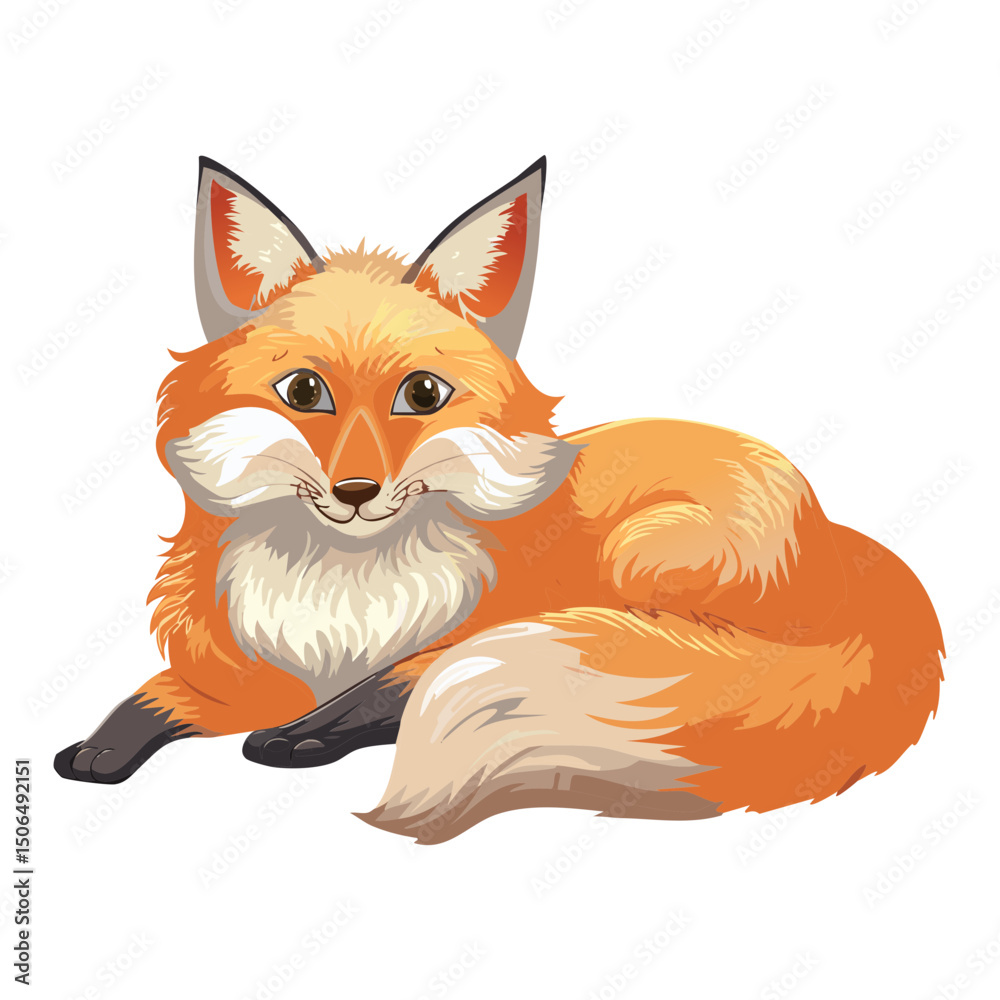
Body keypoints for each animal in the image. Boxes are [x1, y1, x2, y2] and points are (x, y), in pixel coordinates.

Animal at [55, 156, 943, 844]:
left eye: (422, 395)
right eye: (304, 392)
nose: (356, 492)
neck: (345, 605)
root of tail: (845, 540)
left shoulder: (461, 637)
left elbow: (382, 693)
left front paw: (299, 739)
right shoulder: (246, 670)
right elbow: (152, 699)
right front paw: (99, 746)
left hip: (644, 560)